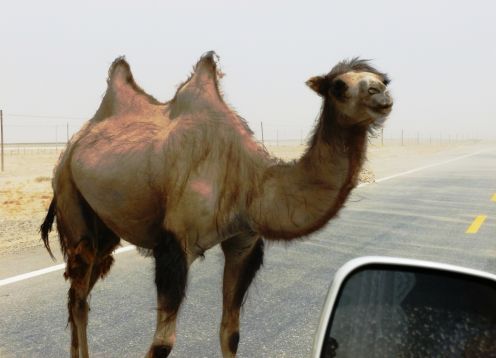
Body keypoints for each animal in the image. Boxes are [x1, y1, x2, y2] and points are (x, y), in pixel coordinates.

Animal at [40, 51, 394, 358]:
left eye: (383, 79)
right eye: (339, 86)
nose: (381, 95)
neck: (251, 179)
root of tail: (75, 144)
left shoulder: (243, 241)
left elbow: (231, 333)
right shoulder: (175, 243)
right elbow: (162, 344)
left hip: (105, 228)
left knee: (80, 295)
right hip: (70, 195)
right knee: (78, 297)